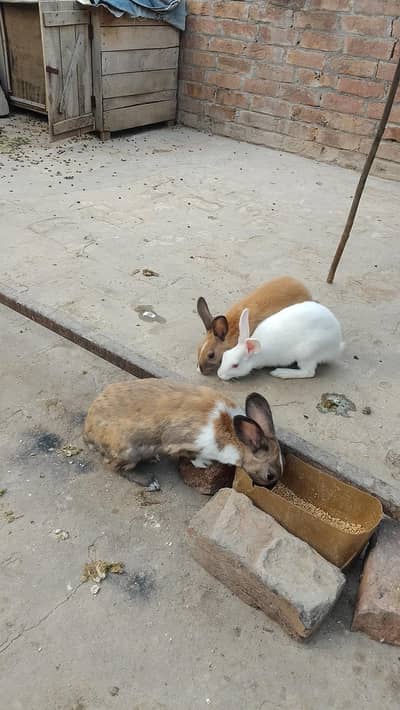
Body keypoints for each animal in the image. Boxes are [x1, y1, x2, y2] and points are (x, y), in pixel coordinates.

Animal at [84, 379, 283, 487]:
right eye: (269, 475)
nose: (269, 486)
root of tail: (88, 433)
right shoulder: (183, 443)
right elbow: (192, 456)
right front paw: (205, 464)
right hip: (128, 451)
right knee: (114, 467)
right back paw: (149, 482)